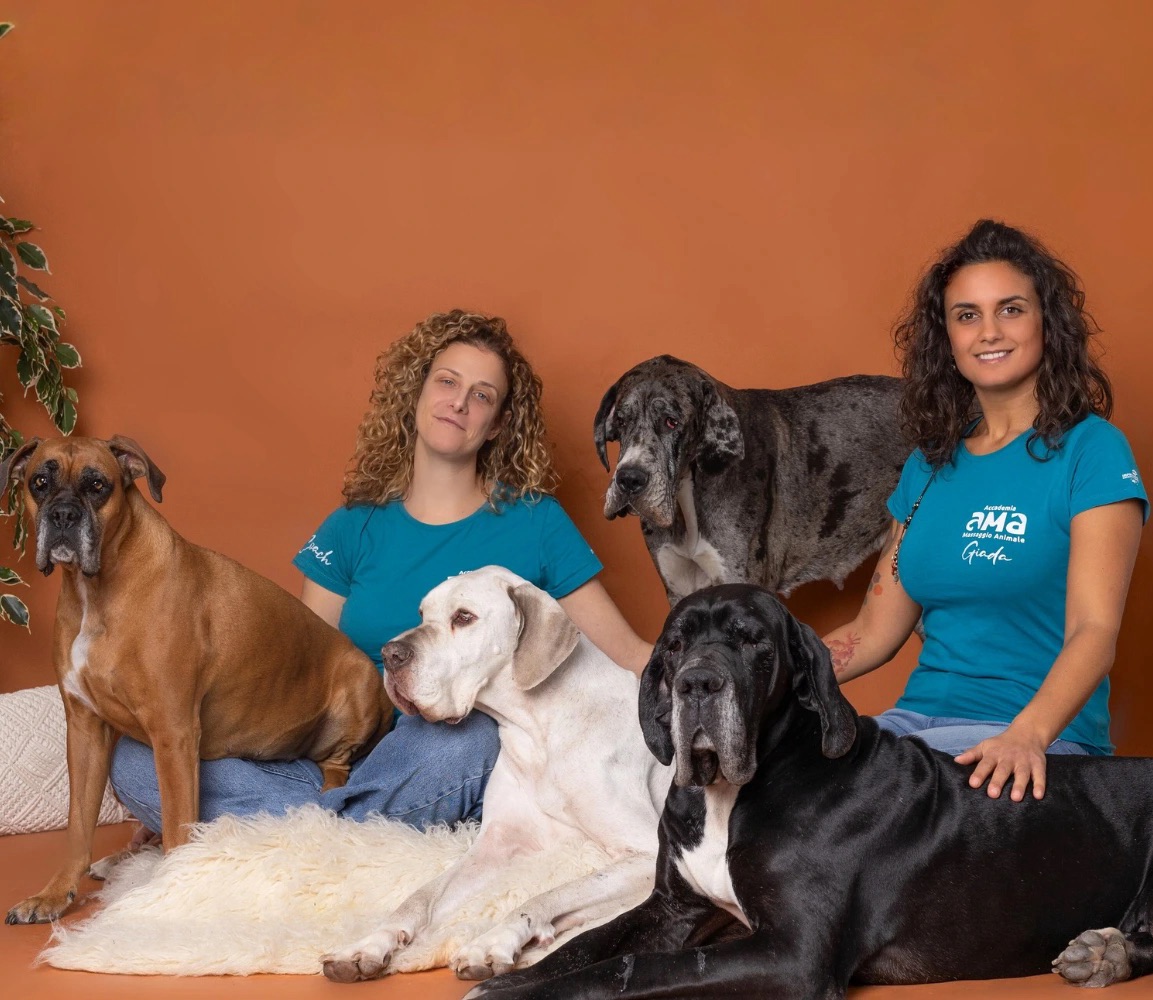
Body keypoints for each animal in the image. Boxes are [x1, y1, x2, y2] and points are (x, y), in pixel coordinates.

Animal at [1, 436, 392, 924]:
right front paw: (55, 894)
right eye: (40, 482)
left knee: (337, 767)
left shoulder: (173, 733)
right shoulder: (85, 729)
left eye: (97, 486)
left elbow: (177, 826)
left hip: (357, 680)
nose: (64, 516)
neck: (97, 589)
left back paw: (322, 807)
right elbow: (78, 823)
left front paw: (167, 895)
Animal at [321, 566, 671, 983]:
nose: (391, 655)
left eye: (464, 617)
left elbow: (542, 895)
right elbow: (419, 898)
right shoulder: (494, 848)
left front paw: (491, 942)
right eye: (422, 613)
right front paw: (369, 943)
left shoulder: (644, 854)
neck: (536, 728)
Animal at [469, 584, 1153, 998]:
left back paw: (1107, 953)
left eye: (752, 641)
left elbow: (634, 967)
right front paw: (509, 975)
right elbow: (592, 941)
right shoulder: (673, 909)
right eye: (675, 645)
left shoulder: (792, 954)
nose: (696, 684)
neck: (731, 795)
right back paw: (1105, 953)